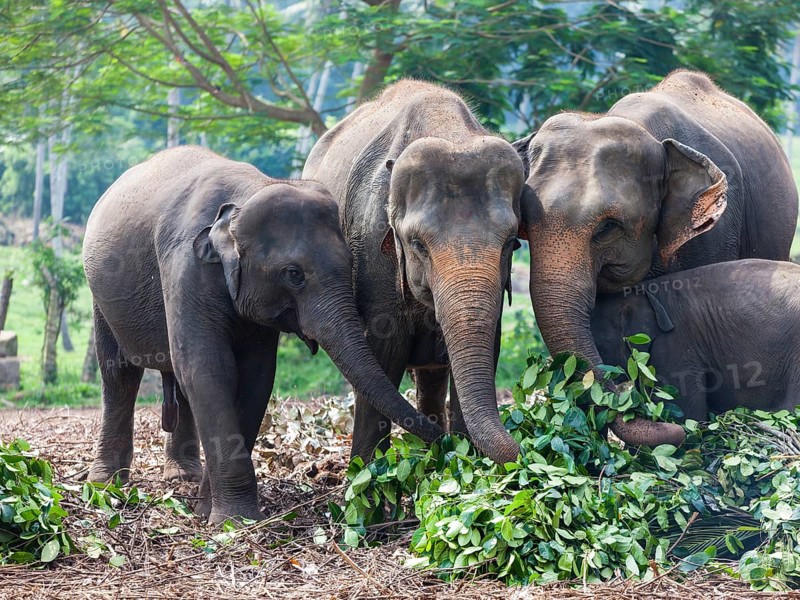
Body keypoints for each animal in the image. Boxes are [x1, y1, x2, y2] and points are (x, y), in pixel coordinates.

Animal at [83, 146, 442, 524]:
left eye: (350, 265)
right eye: (294, 274)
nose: (446, 438)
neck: (247, 194)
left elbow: (256, 375)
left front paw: (210, 510)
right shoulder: (185, 266)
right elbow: (208, 367)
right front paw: (232, 520)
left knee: (176, 380)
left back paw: (183, 478)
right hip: (100, 296)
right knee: (119, 373)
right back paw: (106, 483)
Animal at [303, 80, 525, 464]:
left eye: (511, 242)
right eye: (417, 243)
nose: (522, 451)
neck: (449, 129)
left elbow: (483, 350)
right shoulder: (372, 247)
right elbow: (385, 352)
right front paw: (366, 477)